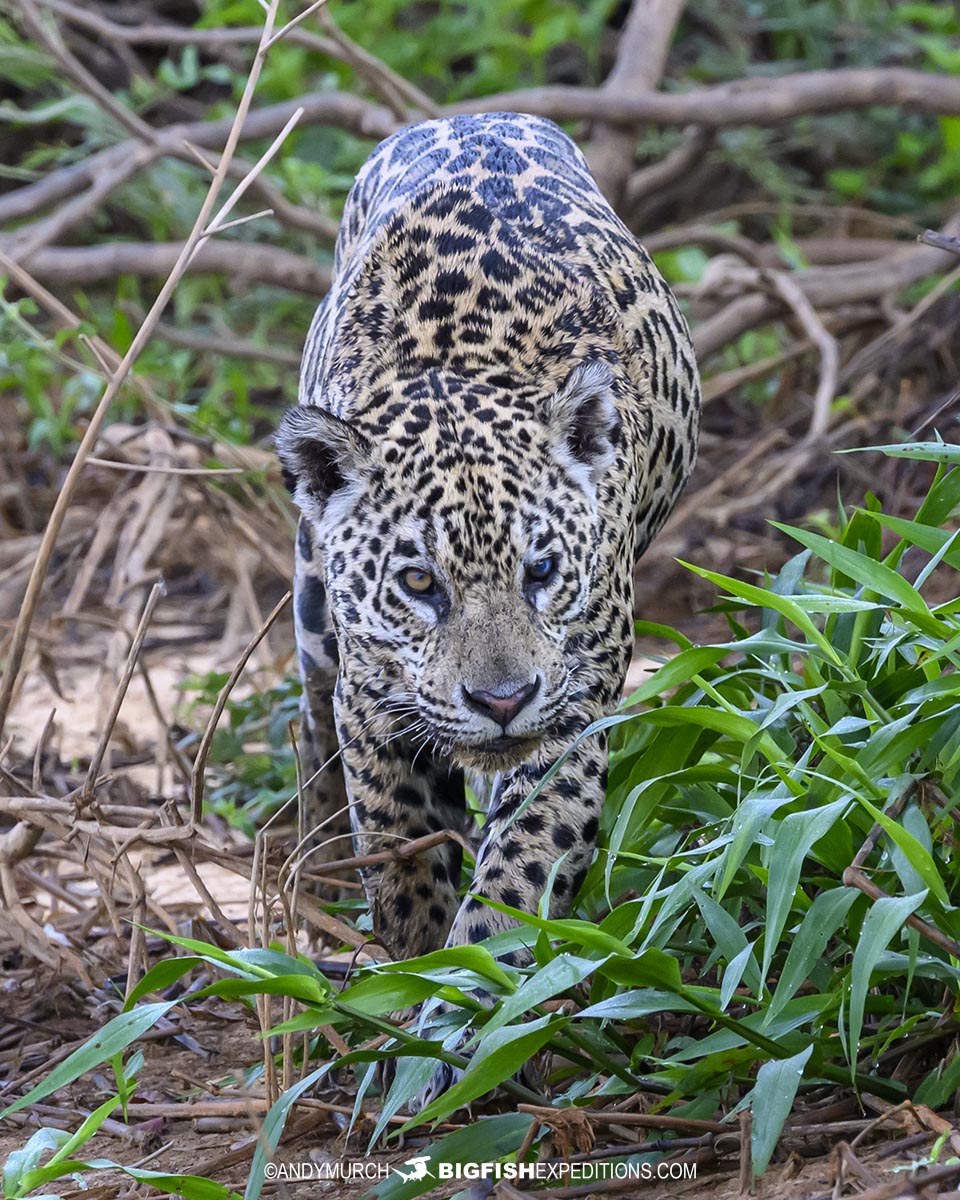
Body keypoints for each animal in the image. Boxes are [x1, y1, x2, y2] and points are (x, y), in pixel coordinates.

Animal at [277, 111, 700, 1040]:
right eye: (418, 584)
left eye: (541, 571)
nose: (502, 702)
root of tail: (469, 114)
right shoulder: (372, 701)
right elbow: (399, 850)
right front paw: (411, 973)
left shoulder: (570, 716)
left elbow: (520, 865)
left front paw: (475, 997)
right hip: (312, 605)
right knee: (310, 711)